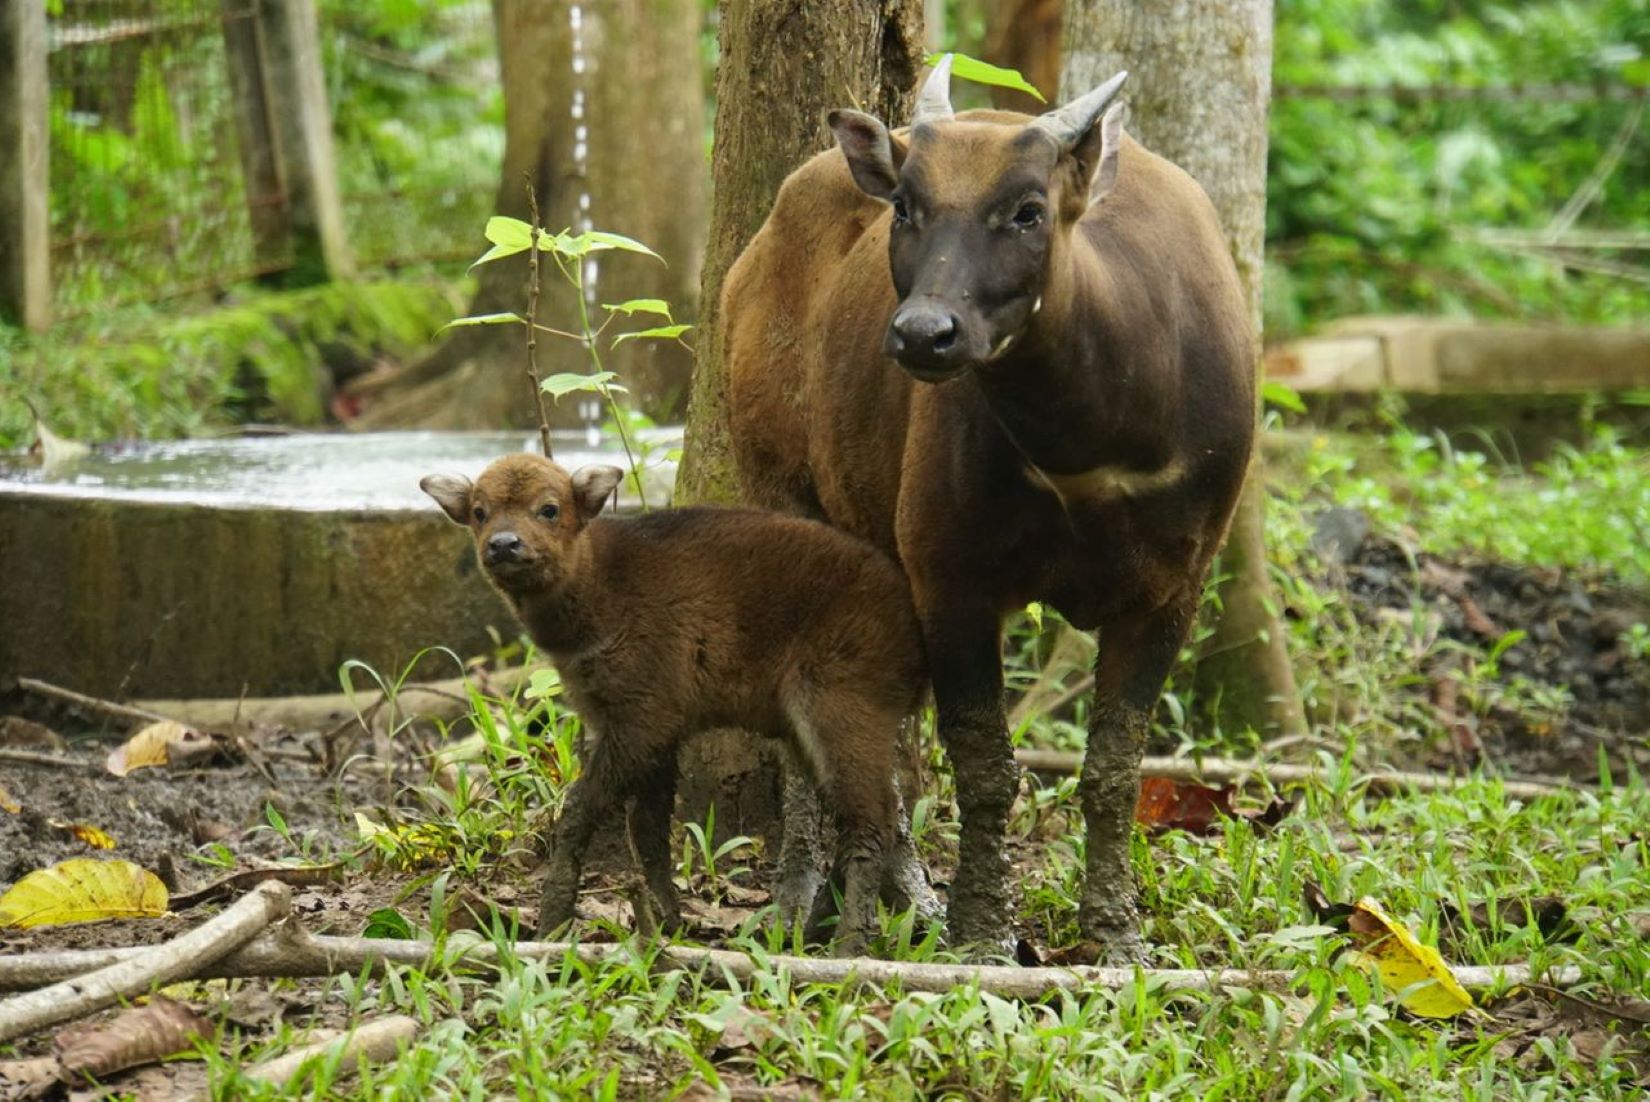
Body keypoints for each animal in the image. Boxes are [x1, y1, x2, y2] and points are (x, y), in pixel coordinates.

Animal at [419, 452, 930, 950]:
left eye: (549, 508)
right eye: (480, 511)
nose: (504, 544)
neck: (601, 585)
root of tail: (913, 624)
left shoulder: (644, 718)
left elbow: (581, 808)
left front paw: (552, 921)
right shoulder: (646, 727)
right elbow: (648, 827)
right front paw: (668, 921)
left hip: (841, 705)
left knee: (872, 819)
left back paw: (849, 944)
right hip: (808, 728)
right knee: (856, 816)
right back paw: (811, 930)